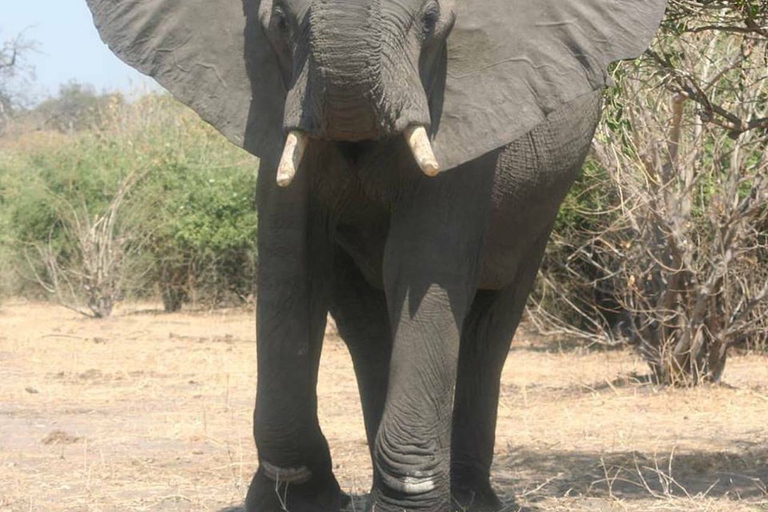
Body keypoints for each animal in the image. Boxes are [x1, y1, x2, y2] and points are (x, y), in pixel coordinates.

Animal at [85, 0, 664, 510]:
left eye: (430, 20)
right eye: (280, 23)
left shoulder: (462, 109)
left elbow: (419, 263)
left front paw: (409, 503)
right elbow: (290, 258)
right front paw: (297, 499)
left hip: (545, 201)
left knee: (489, 325)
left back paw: (470, 499)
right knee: (364, 320)